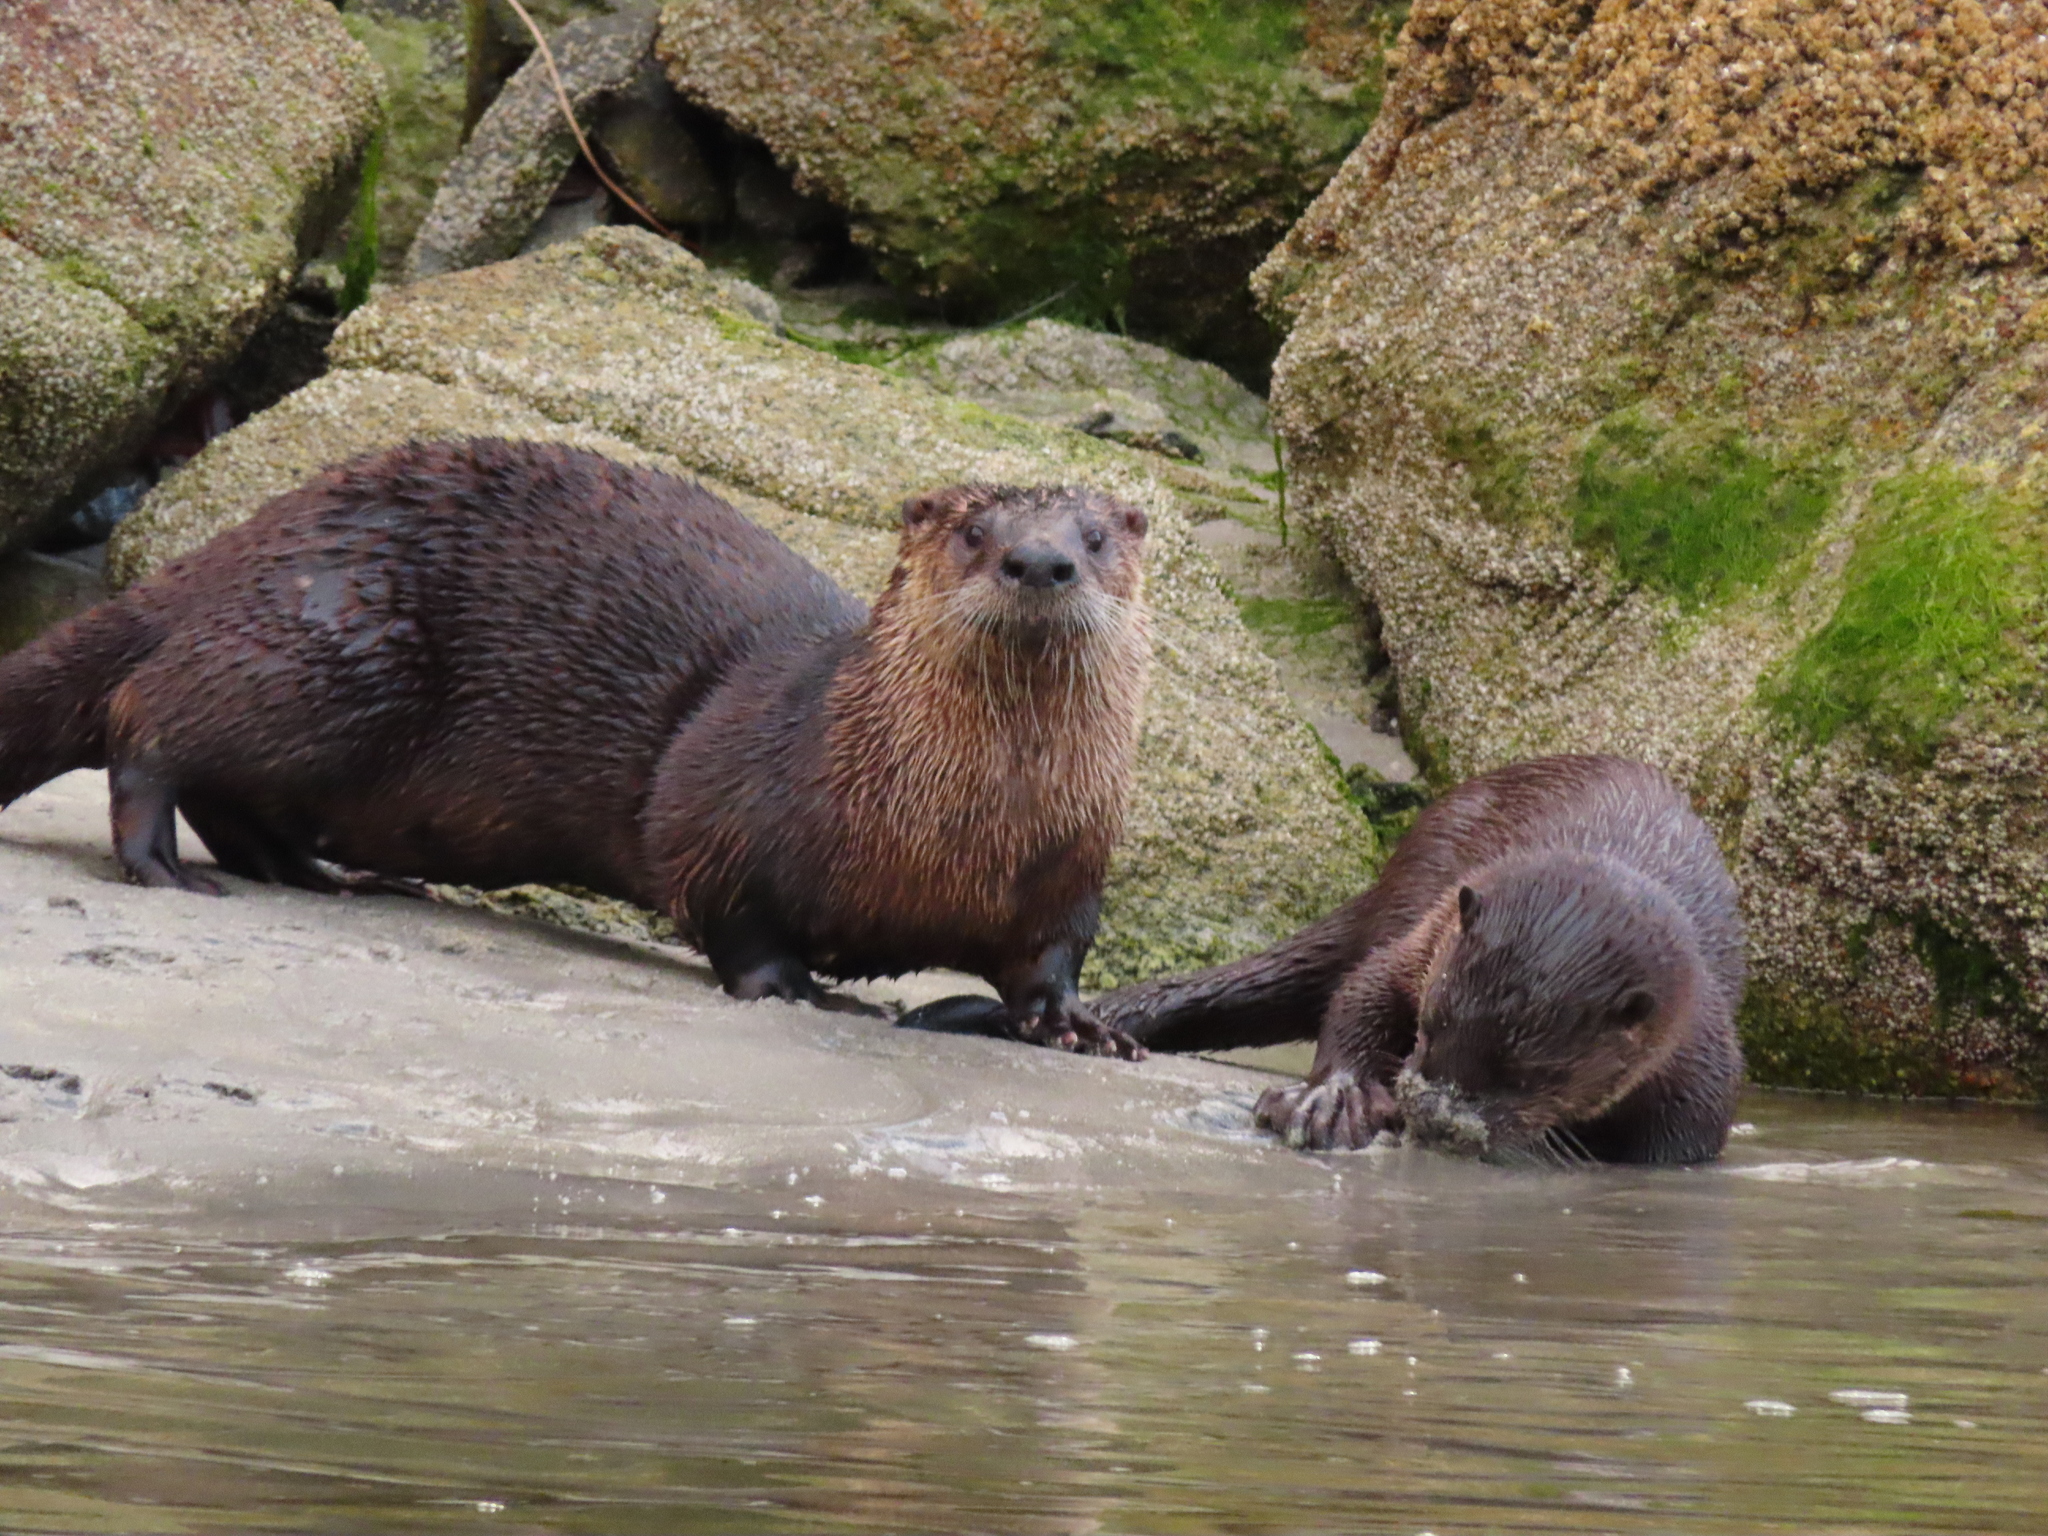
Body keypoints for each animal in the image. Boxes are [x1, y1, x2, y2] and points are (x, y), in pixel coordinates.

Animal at [0, 438, 1153, 1056]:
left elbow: (1048, 959)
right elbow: (727, 907)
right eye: (972, 531)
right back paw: (159, 864)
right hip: (334, 643)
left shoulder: (1070, 868)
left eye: (1096, 537)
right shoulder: (726, 810)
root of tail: (245, 535)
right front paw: (797, 985)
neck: (953, 824)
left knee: (235, 797)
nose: (1040, 562)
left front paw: (1080, 1027)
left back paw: (326, 875)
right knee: (150, 717)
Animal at [1085, 755, 1745, 1164]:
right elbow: (1363, 992)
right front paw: (1337, 1100)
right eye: (1431, 1025)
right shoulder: (1427, 938)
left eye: (1535, 1078)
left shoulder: (1699, 1061)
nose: (1433, 1114)